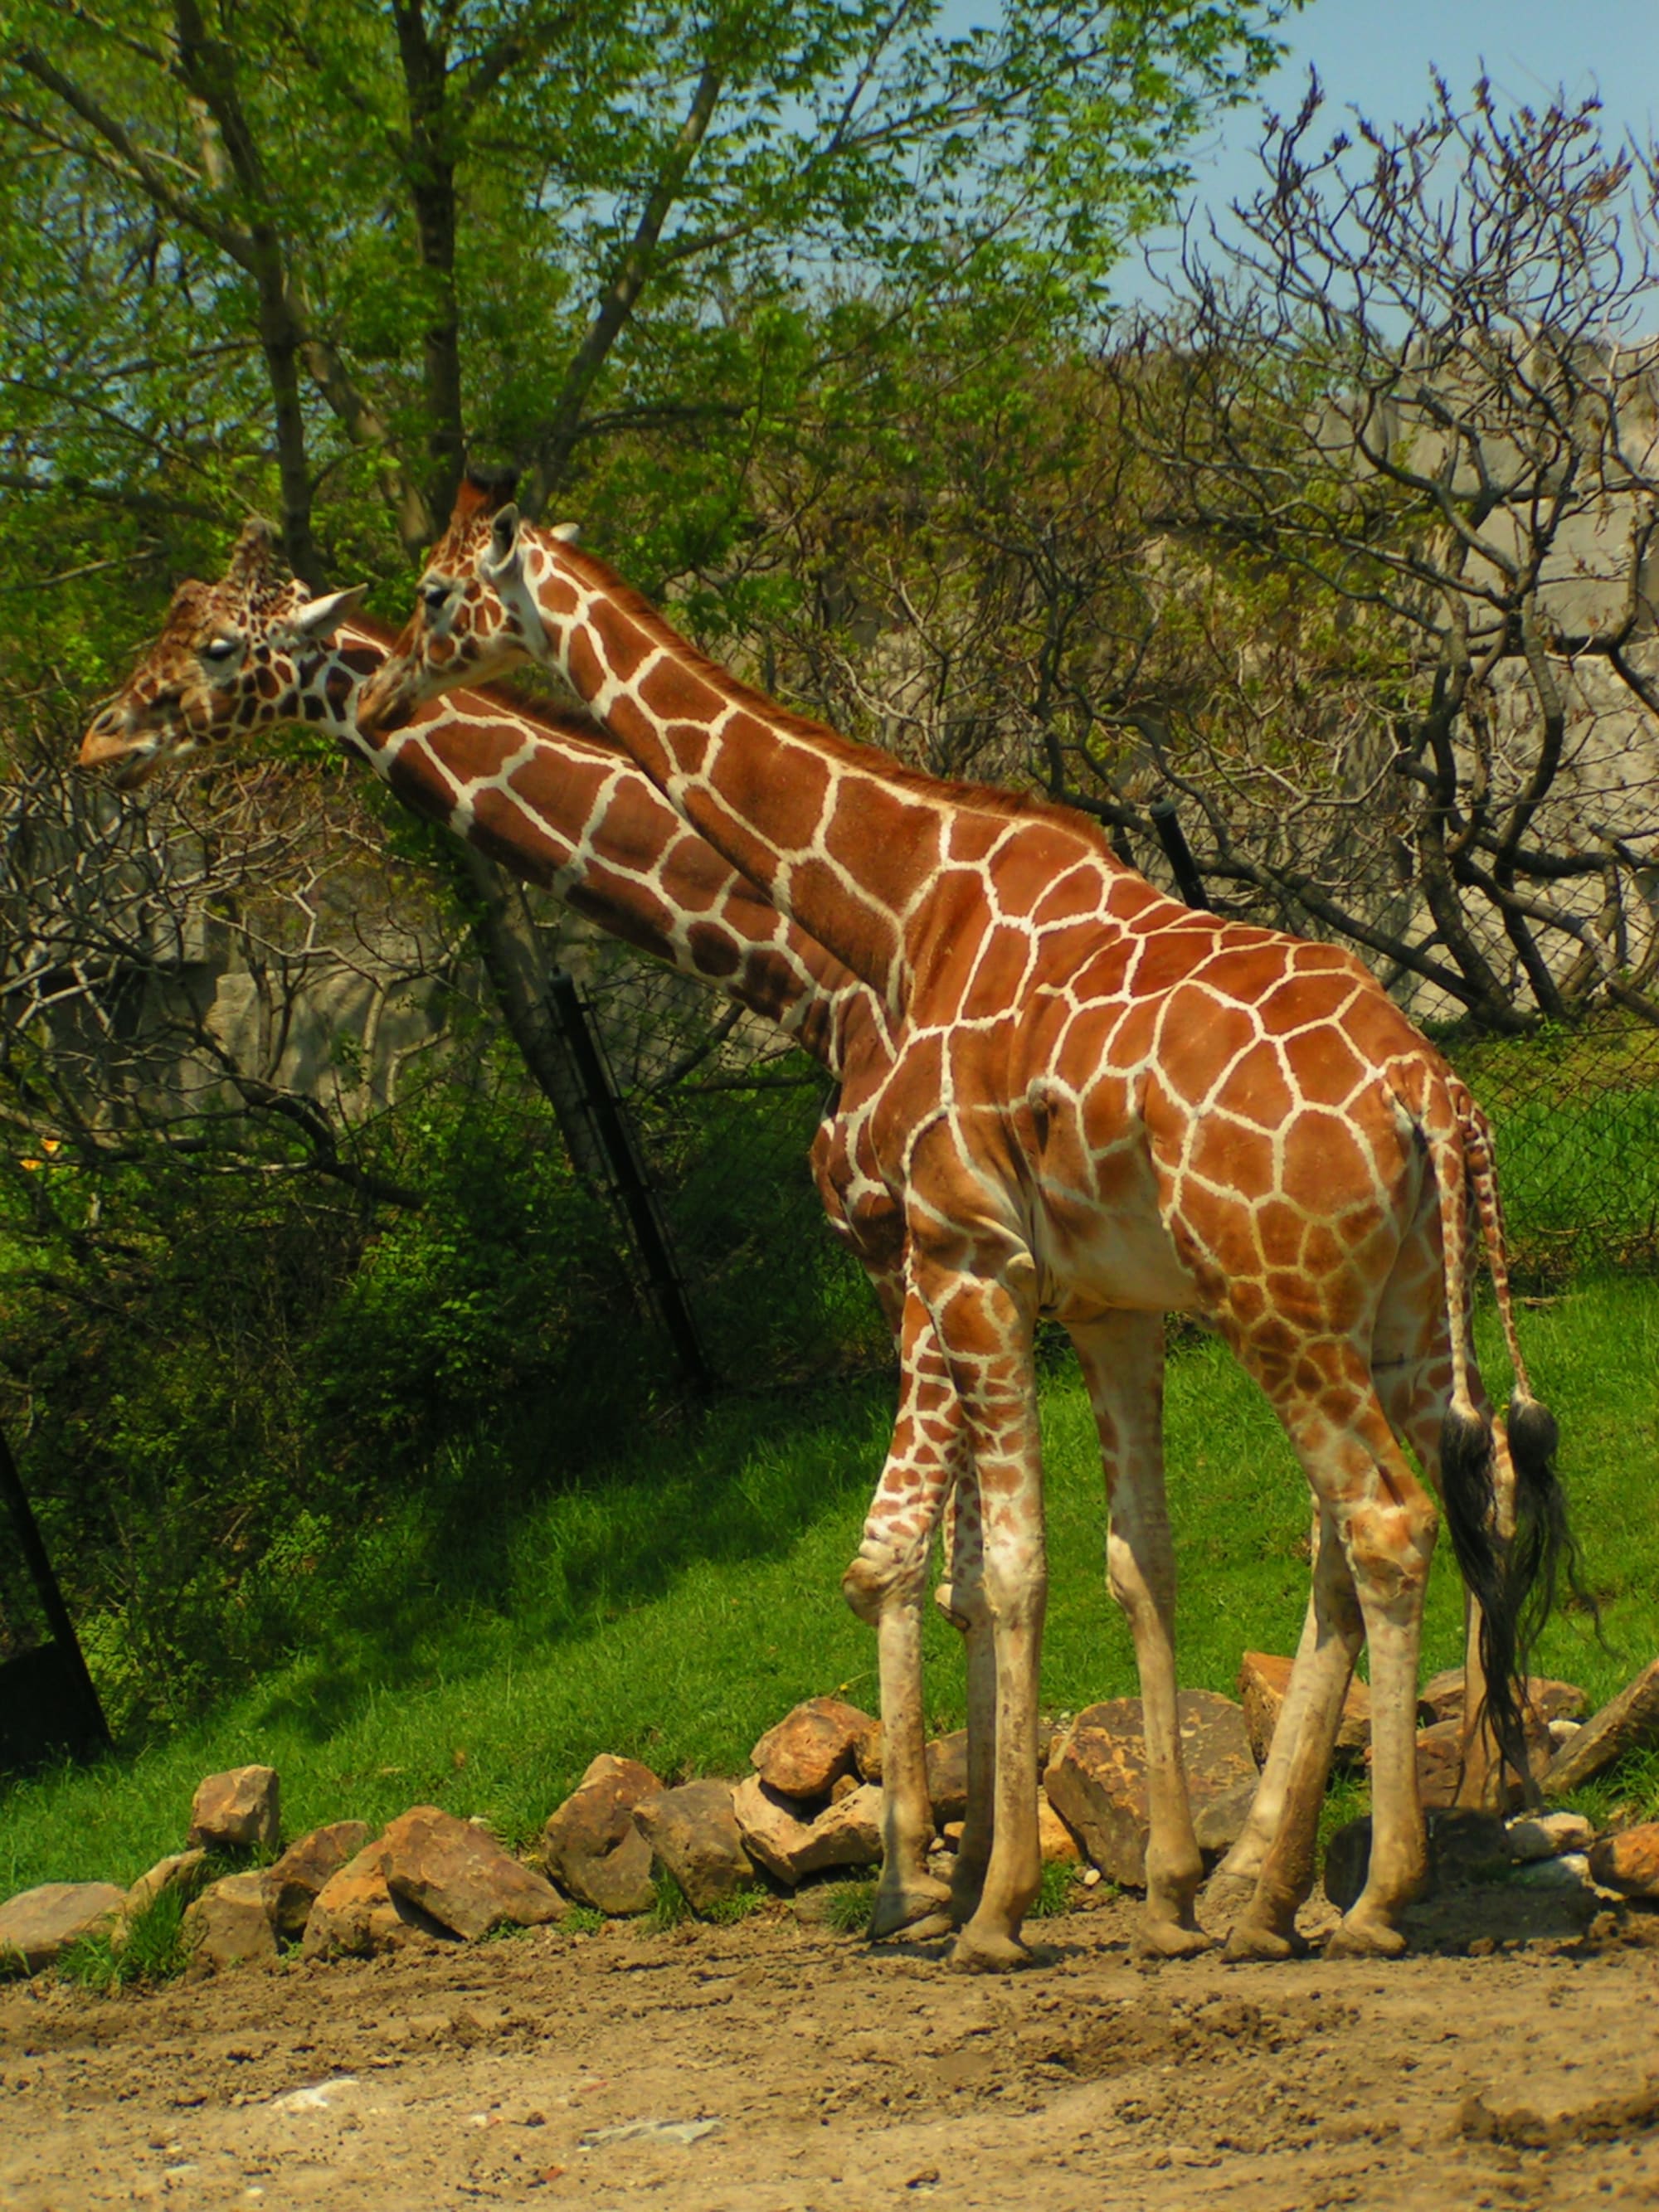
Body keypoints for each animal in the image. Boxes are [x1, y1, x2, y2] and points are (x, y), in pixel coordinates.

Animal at [79, 518, 1001, 1939]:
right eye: (168, 619)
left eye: (224, 644)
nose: (98, 739)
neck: (803, 970)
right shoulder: (884, 1247)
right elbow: (959, 1555)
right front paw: (970, 1852)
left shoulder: (924, 1242)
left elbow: (913, 1554)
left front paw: (924, 1876)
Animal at [358, 480, 1571, 1971]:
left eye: (430, 590)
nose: (390, 687)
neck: (894, 905)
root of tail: (1431, 1091)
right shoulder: (1093, 1300)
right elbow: (1106, 1557)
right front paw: (1127, 1892)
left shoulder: (955, 1259)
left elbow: (976, 1567)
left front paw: (974, 1904)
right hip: (1391, 1313)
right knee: (1424, 1506)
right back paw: (1316, 1877)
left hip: (1276, 1301)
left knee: (1381, 1524)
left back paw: (1368, 1896)